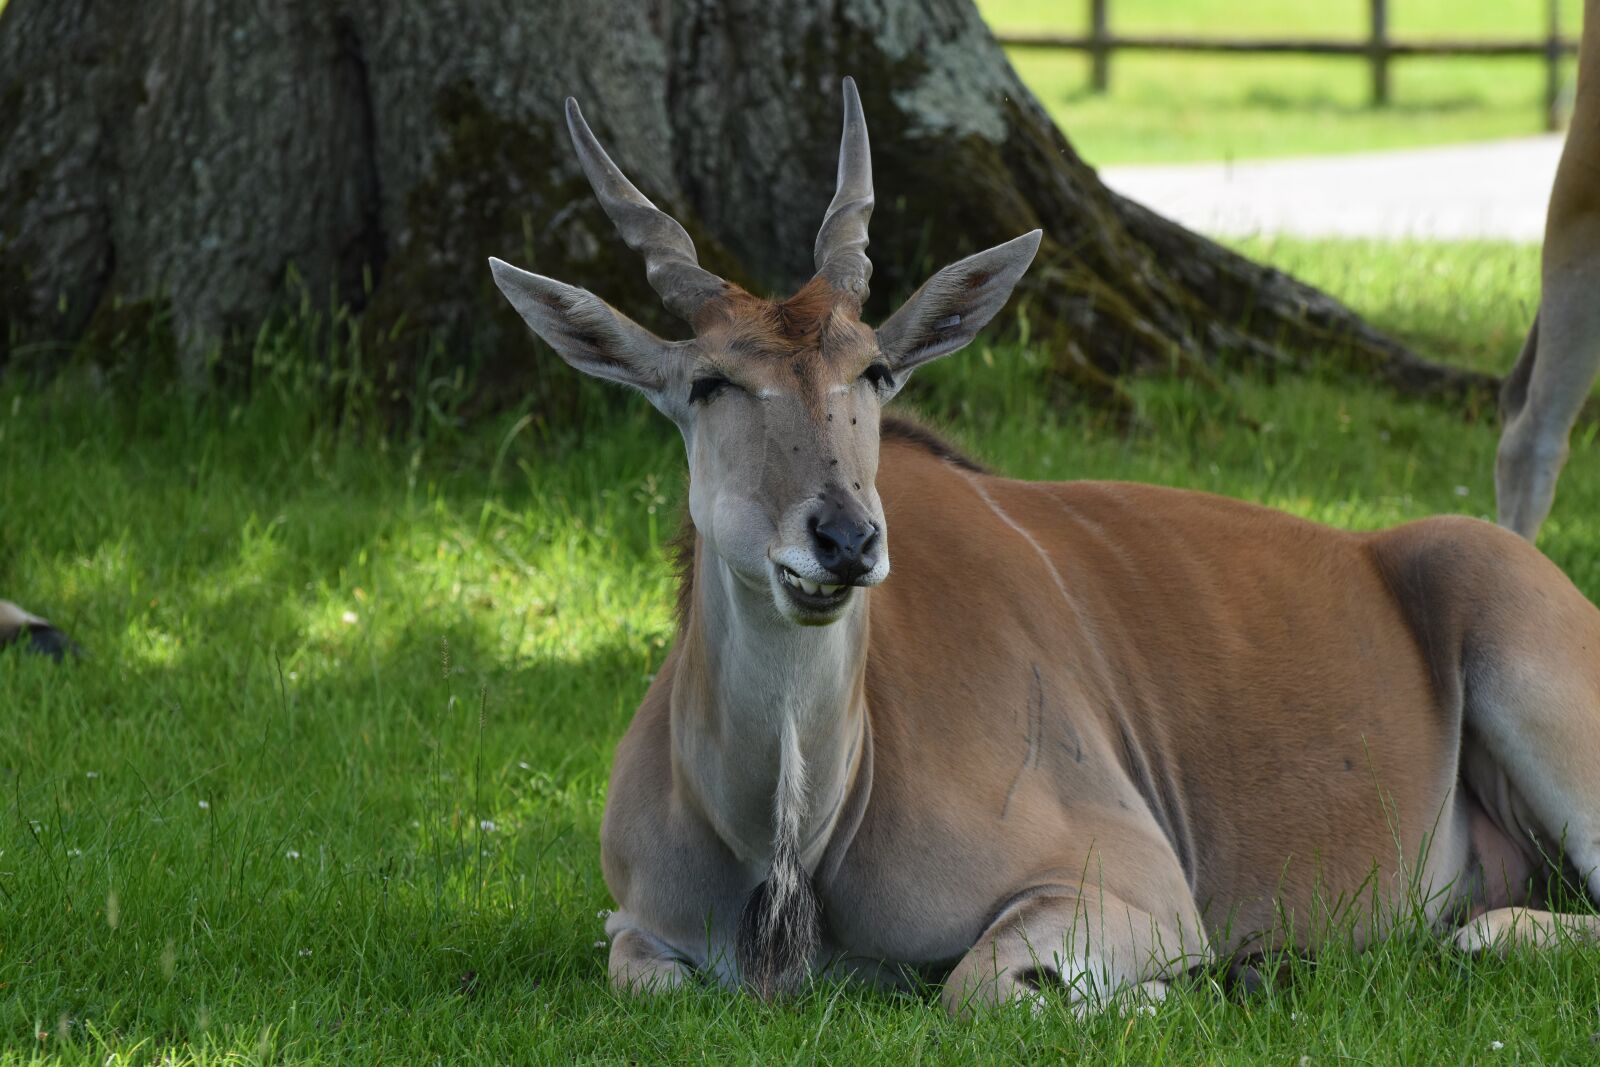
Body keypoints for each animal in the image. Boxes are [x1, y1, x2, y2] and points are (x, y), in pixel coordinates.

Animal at [491, 80, 1600, 1015]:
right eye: (710, 382)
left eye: (875, 369)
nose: (844, 537)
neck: (791, 842)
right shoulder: (638, 927)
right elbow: (642, 973)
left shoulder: (1133, 884)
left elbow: (981, 986)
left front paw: (1188, 988)